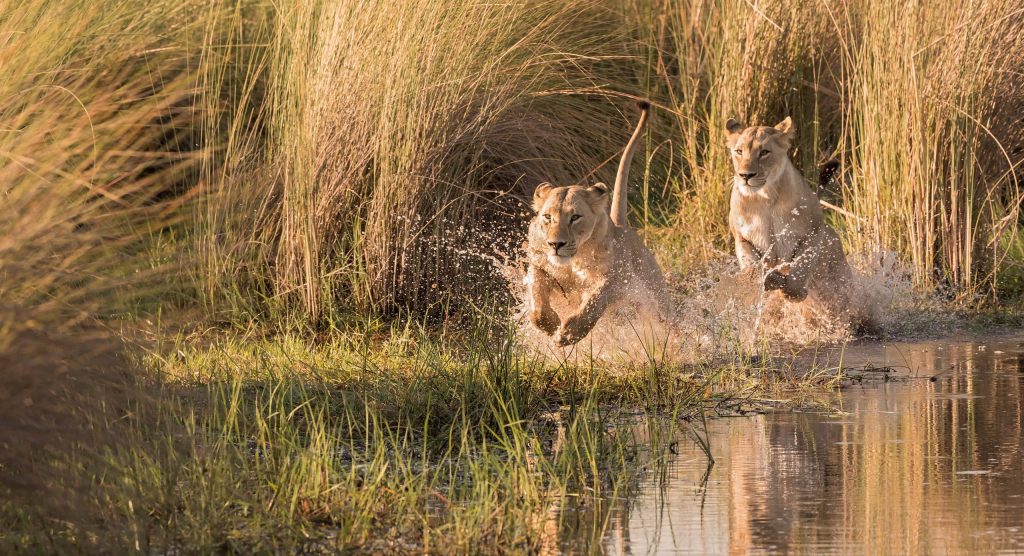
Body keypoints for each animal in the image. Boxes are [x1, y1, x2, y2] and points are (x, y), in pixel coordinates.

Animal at [526, 101, 667, 346]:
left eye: (575, 217)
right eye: (547, 217)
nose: (556, 244)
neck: (572, 260)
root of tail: (623, 227)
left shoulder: (613, 278)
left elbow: (595, 301)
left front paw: (570, 333)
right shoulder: (539, 265)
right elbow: (537, 301)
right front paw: (550, 325)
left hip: (655, 294)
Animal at [724, 116, 865, 329]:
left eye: (764, 152)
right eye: (739, 151)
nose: (745, 176)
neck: (764, 198)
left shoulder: (813, 233)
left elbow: (801, 266)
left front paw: (794, 292)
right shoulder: (742, 238)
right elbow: (755, 268)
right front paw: (769, 279)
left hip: (838, 276)